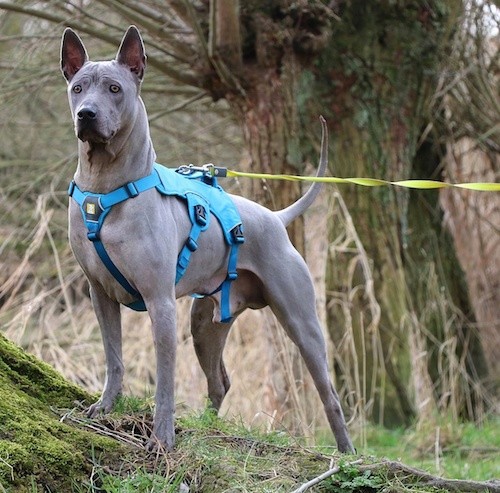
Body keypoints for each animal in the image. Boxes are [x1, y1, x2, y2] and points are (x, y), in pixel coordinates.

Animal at [59, 25, 356, 452]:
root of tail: (276, 218)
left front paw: (162, 438)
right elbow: (114, 358)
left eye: (114, 88)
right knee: (220, 382)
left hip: (301, 321)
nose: (86, 114)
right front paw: (104, 407)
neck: (106, 187)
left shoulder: (160, 303)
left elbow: (165, 380)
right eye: (78, 88)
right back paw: (207, 426)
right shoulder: (100, 295)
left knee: (329, 394)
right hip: (205, 325)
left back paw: (347, 453)